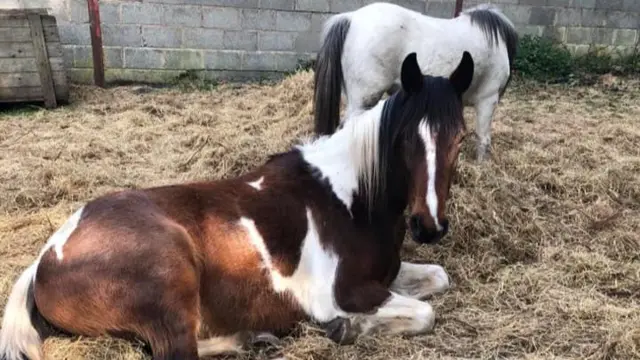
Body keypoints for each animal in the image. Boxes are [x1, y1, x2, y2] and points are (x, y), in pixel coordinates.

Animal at [0, 51, 470, 360]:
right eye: (405, 138)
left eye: (461, 138)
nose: (429, 226)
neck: (351, 200)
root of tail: (47, 255)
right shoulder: (347, 292)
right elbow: (425, 313)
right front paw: (346, 327)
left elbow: (439, 279)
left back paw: (253, 339)